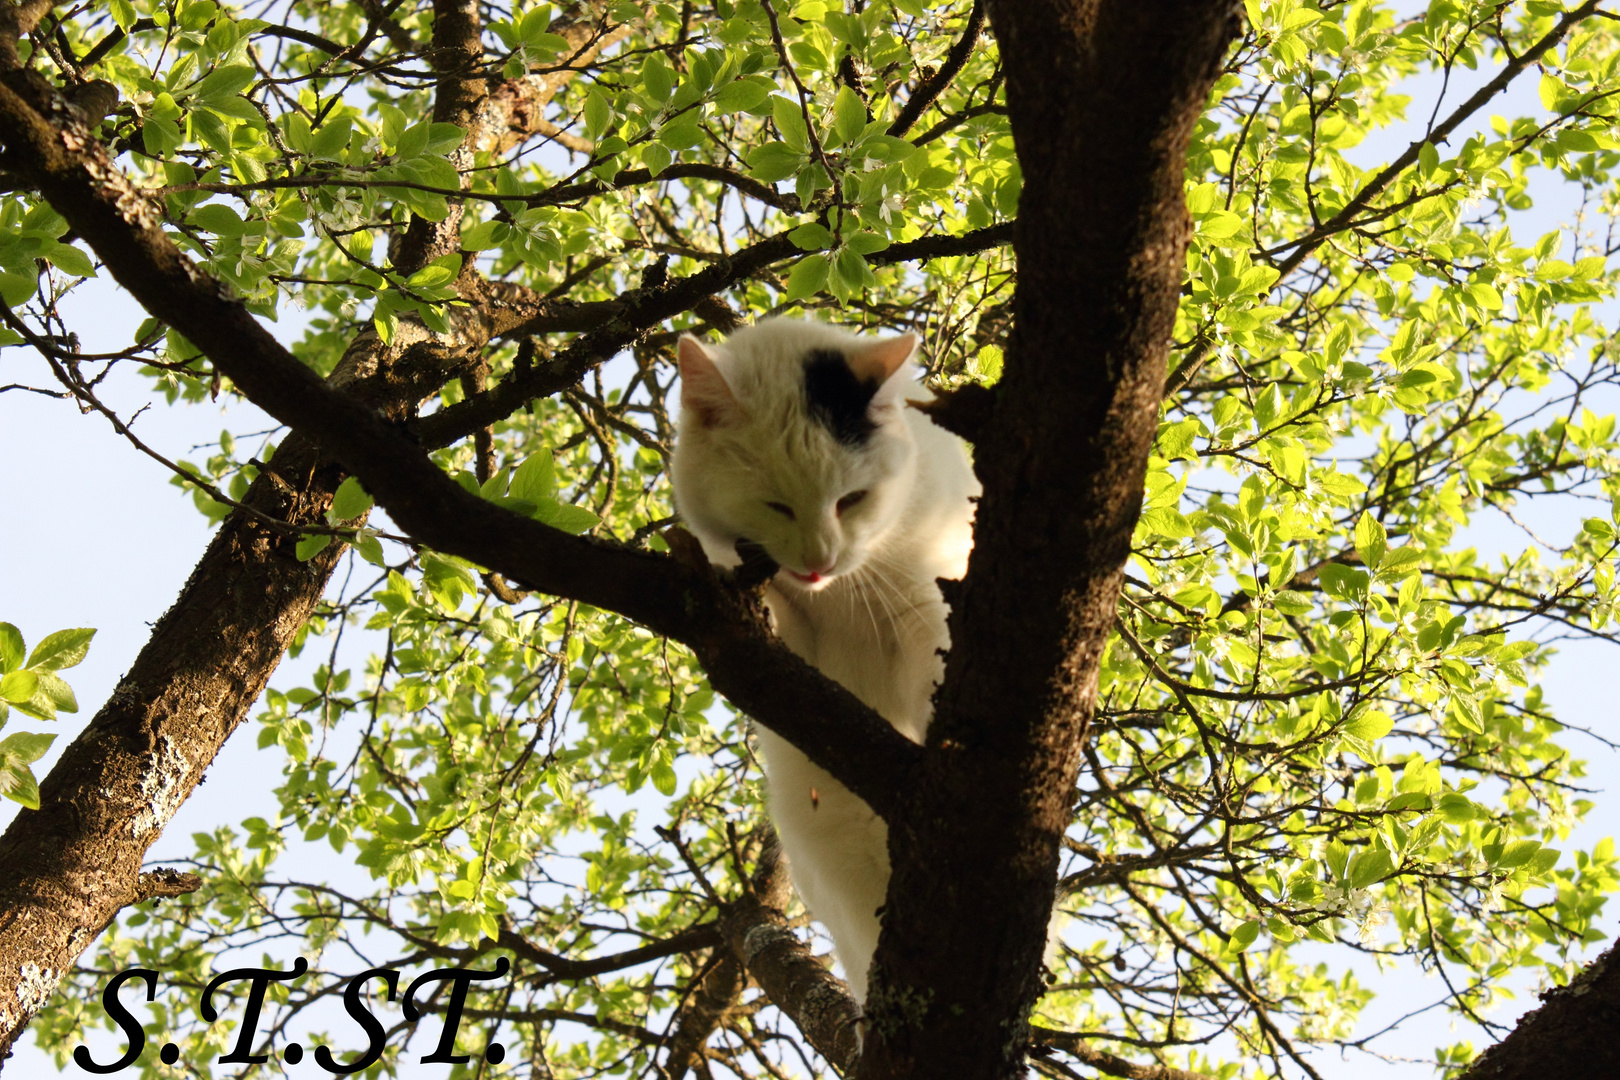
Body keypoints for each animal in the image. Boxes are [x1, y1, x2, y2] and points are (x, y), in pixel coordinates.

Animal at [667, 314, 972, 1003]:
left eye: (851, 500)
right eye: (775, 505)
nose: (818, 558)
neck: (834, 598)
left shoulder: (926, 599)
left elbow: (932, 665)